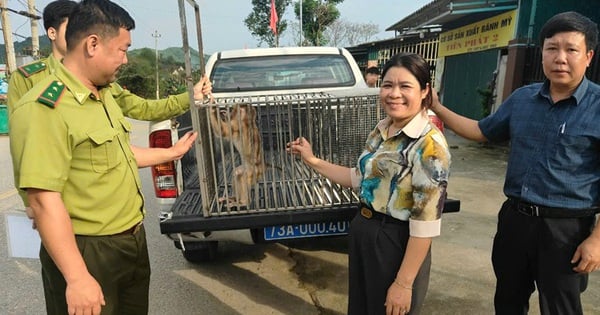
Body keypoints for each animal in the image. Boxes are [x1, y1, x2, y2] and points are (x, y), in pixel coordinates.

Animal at [193, 91, 380, 217]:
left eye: (237, 108)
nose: (231, 108)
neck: (247, 120)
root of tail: (263, 165)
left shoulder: (236, 125)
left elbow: (222, 131)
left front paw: (212, 106)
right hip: (251, 170)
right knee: (237, 173)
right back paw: (233, 198)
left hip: (254, 172)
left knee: (242, 177)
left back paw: (242, 202)